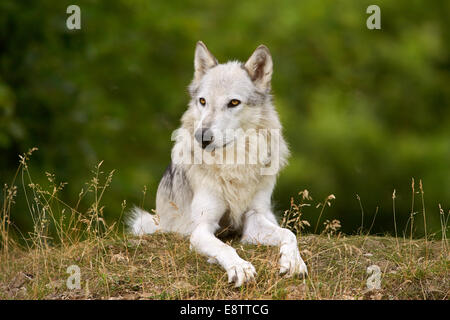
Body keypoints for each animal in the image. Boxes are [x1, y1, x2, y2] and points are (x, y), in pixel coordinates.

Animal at [128, 40, 308, 288]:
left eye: (233, 102)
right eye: (203, 101)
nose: (202, 137)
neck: (233, 163)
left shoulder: (254, 217)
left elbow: (289, 233)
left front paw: (294, 262)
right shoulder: (201, 228)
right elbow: (224, 247)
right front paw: (239, 267)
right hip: (147, 223)